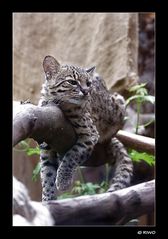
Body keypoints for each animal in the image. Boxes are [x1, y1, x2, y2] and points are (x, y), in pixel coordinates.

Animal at [38, 55, 133, 201]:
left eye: (88, 83)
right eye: (72, 82)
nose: (87, 91)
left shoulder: (90, 134)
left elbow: (72, 155)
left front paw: (63, 181)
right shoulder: (46, 149)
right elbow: (47, 174)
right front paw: (47, 199)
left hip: (119, 102)